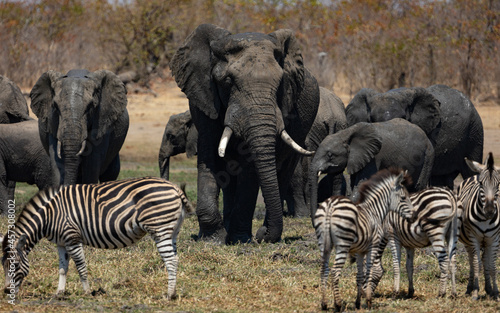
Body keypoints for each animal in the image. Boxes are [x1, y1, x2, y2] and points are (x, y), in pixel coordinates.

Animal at [0, 174, 193, 298]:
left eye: (15, 265)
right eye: (3, 265)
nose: (7, 292)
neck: (49, 215)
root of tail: (175, 187)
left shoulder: (72, 237)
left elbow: (81, 267)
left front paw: (87, 293)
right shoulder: (61, 243)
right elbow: (63, 268)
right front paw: (59, 293)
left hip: (160, 229)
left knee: (171, 260)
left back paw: (169, 295)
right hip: (172, 231)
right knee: (175, 258)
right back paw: (173, 292)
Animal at [171, 24, 320, 244]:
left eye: (281, 82)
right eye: (227, 81)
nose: (261, 236)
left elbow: (248, 168)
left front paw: (239, 239)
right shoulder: (204, 99)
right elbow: (210, 157)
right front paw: (213, 239)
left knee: (283, 173)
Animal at [314, 168, 416, 310]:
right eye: (403, 198)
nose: (415, 216)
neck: (375, 211)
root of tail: (330, 204)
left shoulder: (359, 251)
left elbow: (360, 275)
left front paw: (358, 303)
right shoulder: (373, 246)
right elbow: (369, 272)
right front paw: (368, 301)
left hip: (323, 243)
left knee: (324, 269)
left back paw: (324, 304)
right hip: (342, 244)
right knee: (334, 271)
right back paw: (338, 304)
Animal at [458, 152, 498, 298]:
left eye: (498, 184)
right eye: (481, 184)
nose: (490, 211)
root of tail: (475, 174)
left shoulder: (494, 240)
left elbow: (492, 266)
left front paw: (496, 292)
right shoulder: (473, 237)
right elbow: (476, 264)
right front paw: (475, 291)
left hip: (487, 241)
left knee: (486, 260)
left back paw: (489, 289)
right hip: (467, 240)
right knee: (472, 260)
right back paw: (470, 288)